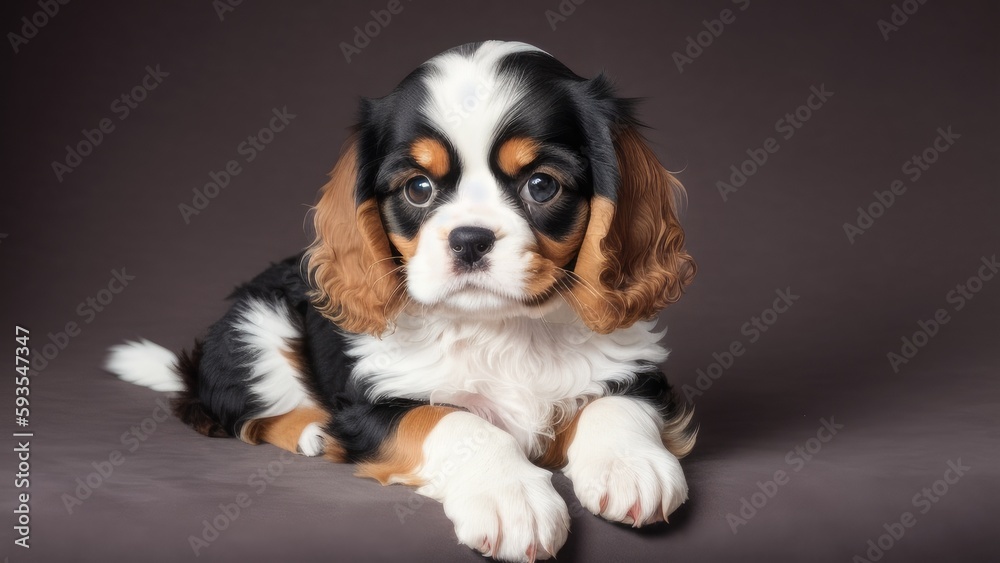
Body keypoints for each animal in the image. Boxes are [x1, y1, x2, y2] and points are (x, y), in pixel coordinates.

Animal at [103, 40, 696, 563]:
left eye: (541, 185)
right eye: (418, 189)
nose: (469, 239)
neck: (502, 328)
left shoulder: (637, 370)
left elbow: (616, 402)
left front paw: (631, 467)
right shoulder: (373, 403)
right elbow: (449, 421)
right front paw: (510, 498)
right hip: (255, 328)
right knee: (241, 417)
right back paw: (314, 431)